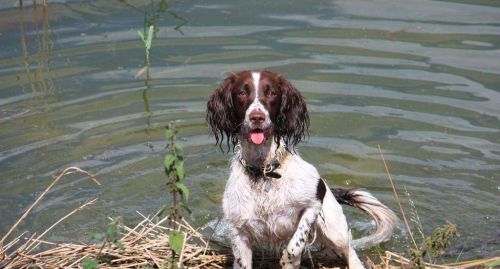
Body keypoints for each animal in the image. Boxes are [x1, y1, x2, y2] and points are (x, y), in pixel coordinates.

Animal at [205, 70, 396, 266]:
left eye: (272, 92)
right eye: (242, 93)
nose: (257, 117)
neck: (264, 173)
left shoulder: (313, 204)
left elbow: (294, 246)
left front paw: (291, 262)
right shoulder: (238, 229)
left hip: (335, 231)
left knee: (349, 250)